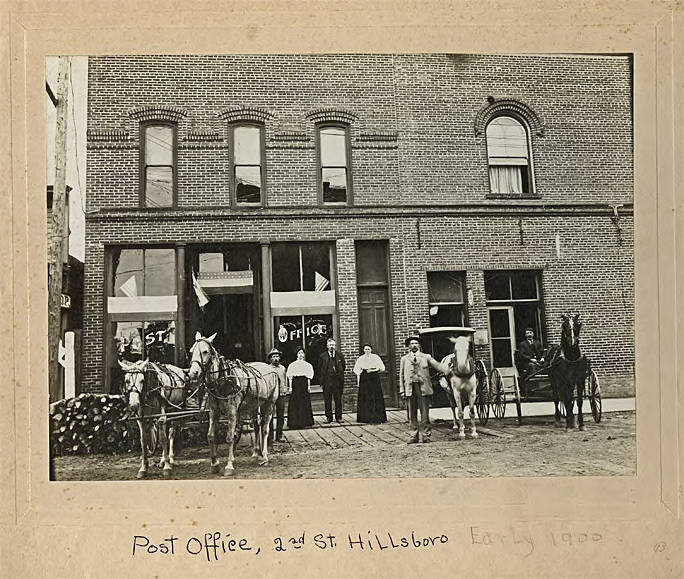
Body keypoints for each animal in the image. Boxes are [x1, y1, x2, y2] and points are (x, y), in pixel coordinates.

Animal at [186, 334, 280, 478]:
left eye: (205, 351)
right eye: (191, 352)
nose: (193, 373)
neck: (223, 379)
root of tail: (271, 368)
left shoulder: (232, 412)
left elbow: (230, 437)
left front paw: (229, 466)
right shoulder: (214, 411)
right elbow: (210, 435)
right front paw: (214, 464)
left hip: (269, 403)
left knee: (265, 429)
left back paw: (264, 456)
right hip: (253, 406)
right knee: (256, 425)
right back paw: (255, 453)